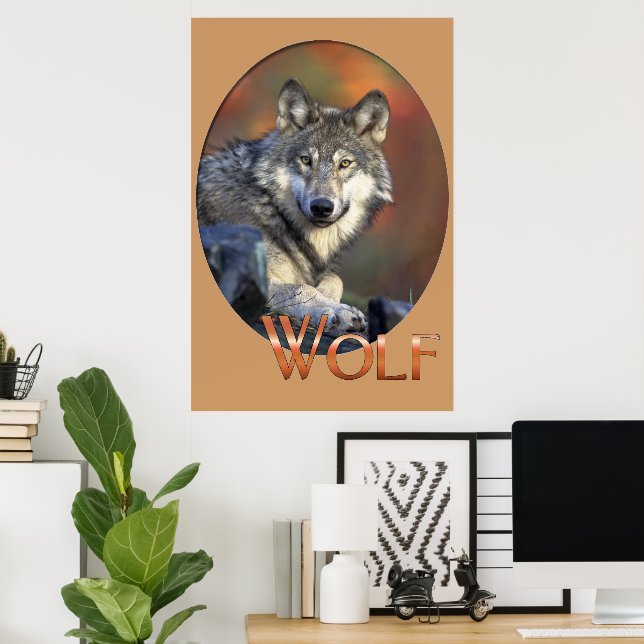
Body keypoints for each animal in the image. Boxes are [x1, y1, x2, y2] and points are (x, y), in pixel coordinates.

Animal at [197, 78, 393, 332]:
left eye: (345, 163)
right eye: (306, 160)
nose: (322, 207)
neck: (272, 208)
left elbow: (335, 279)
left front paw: (330, 300)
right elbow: (301, 287)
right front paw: (336, 310)